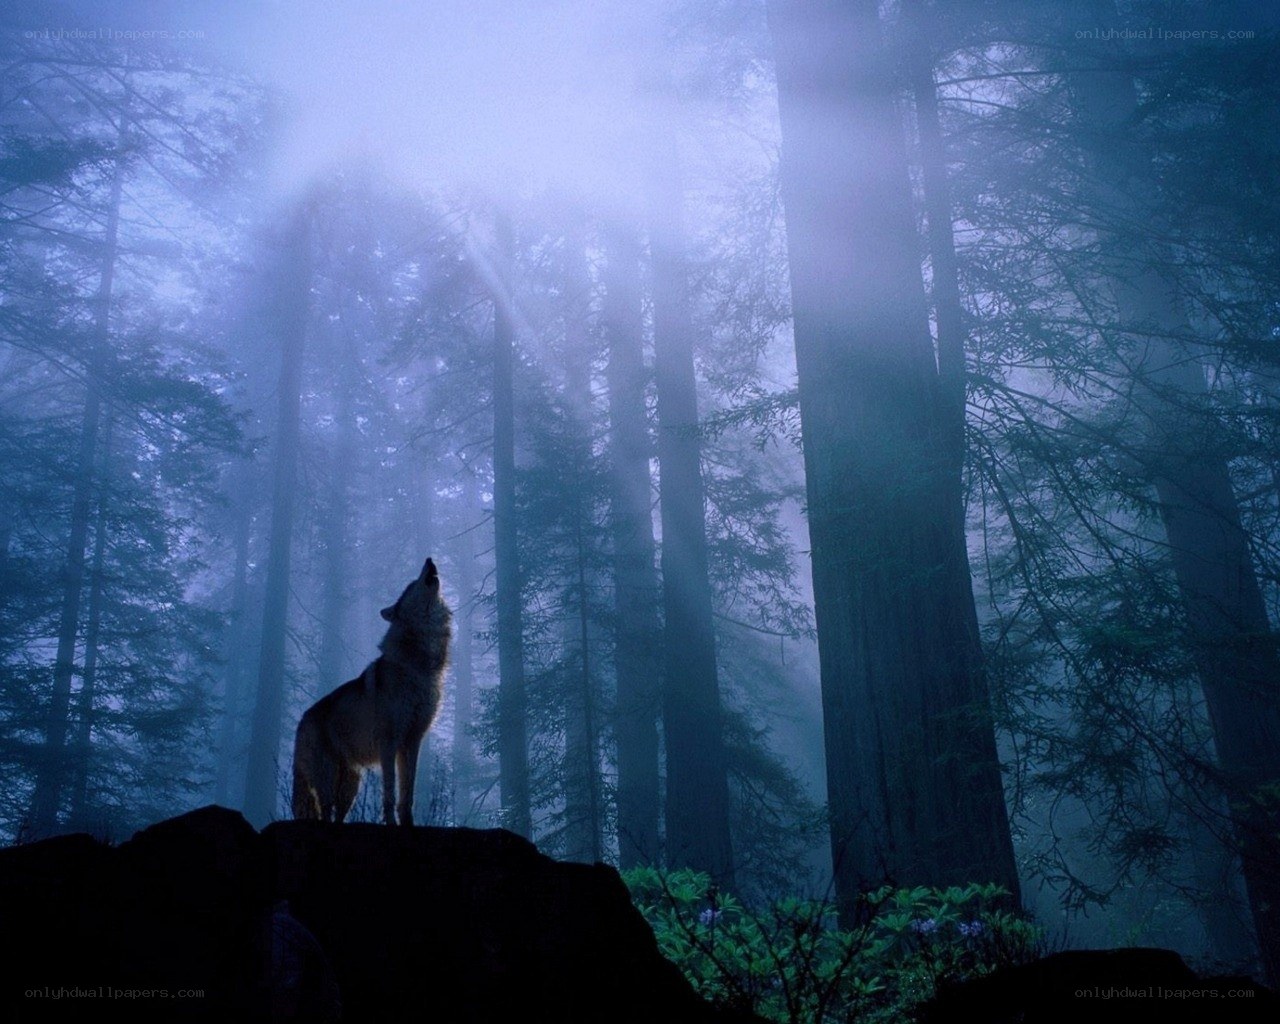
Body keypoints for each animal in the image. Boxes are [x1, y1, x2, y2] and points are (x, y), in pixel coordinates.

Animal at [292, 556, 452, 826]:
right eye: (411, 585)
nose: (429, 559)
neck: (419, 665)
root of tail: (301, 721)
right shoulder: (389, 743)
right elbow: (389, 793)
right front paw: (391, 824)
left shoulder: (412, 741)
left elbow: (407, 795)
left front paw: (408, 824)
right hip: (328, 781)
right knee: (324, 812)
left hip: (350, 786)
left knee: (337, 816)